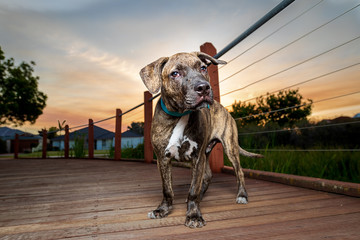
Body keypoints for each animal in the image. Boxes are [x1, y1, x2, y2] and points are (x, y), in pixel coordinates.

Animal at [139, 51, 262, 228]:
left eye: (203, 68)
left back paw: (242, 195)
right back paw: (202, 197)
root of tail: (223, 108)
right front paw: (162, 209)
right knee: (208, 176)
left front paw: (194, 215)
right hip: (206, 153)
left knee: (239, 172)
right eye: (175, 73)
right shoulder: (163, 159)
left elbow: (193, 189)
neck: (181, 114)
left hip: (229, 148)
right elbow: (167, 189)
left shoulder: (197, 158)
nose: (203, 87)